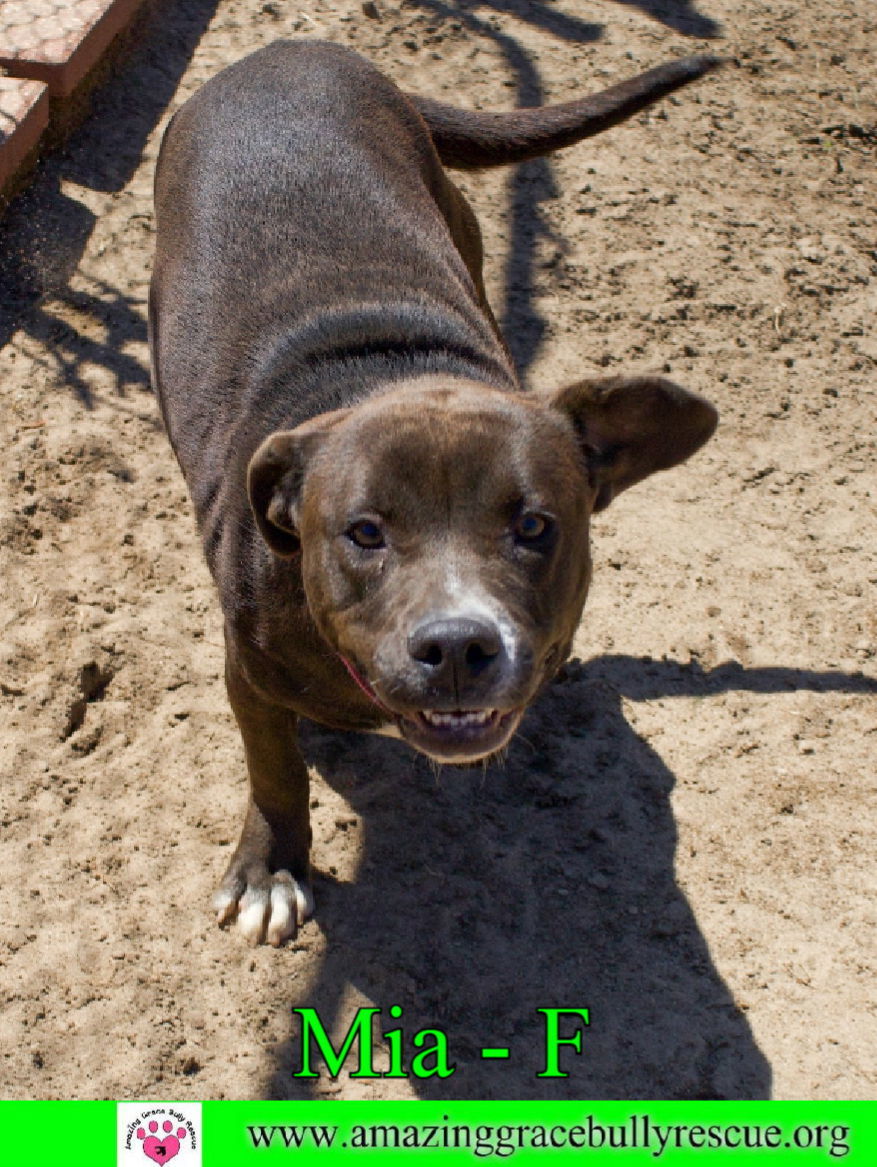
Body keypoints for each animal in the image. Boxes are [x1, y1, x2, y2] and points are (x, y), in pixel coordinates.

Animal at [150, 38, 719, 947]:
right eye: (364, 533)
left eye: (533, 525)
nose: (456, 645)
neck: (389, 368)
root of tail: (288, 48)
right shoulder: (247, 670)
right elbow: (273, 768)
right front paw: (272, 866)